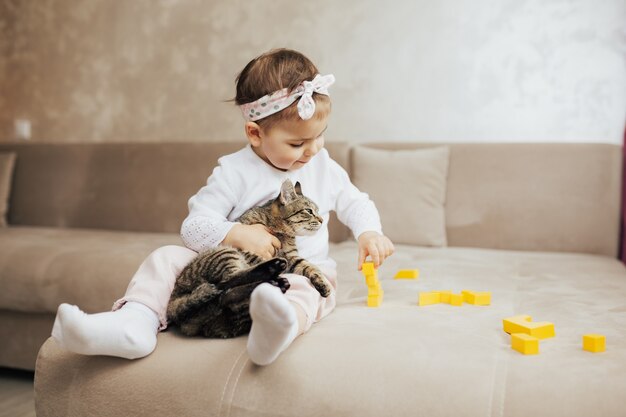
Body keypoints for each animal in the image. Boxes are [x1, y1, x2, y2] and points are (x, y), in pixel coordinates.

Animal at [166, 179, 332, 338]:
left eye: (317, 210)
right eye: (309, 211)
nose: (322, 219)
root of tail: (174, 306)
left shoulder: (292, 258)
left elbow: (310, 266)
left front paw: (324, 284)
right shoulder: (247, 248)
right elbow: (258, 258)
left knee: (225, 295)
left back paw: (272, 283)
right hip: (226, 252)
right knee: (228, 281)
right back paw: (271, 273)